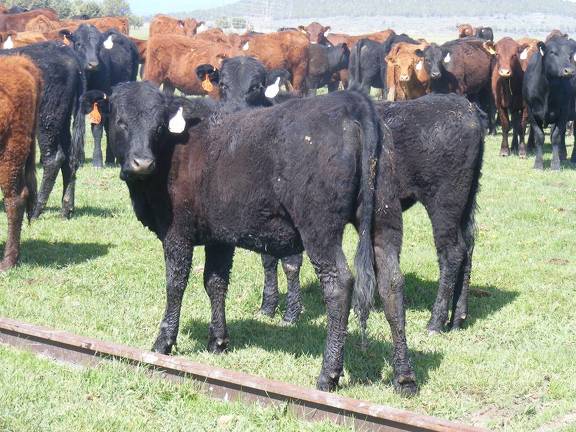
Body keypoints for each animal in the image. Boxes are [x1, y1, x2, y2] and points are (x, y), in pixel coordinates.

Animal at [0, 41, 85, 219]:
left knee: (53, 158)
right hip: (62, 121)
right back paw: (66, 209)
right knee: (69, 159)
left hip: (46, 120)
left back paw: (36, 210)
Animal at [62, 24, 140, 168]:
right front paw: (78, 159)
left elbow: (97, 130)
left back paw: (110, 159)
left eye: (99, 46)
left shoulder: (100, 102)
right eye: (79, 43)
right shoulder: (76, 104)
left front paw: (97, 161)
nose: (93, 64)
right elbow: (77, 125)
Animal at [79, 80, 418, 394]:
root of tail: (352, 101)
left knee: (339, 284)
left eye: (158, 125)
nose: (142, 162)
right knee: (391, 283)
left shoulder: (177, 233)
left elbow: (176, 284)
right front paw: (218, 340)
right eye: (120, 120)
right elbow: (215, 283)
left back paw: (328, 374)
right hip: (385, 217)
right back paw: (405, 377)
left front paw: (163, 342)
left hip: (320, 226)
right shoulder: (219, 237)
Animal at [520, 36, 576, 169]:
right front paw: (538, 164)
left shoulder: (563, 112)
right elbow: (539, 137)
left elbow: (555, 137)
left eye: (570, 55)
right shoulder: (531, 112)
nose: (569, 71)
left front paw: (555, 165)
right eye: (553, 53)